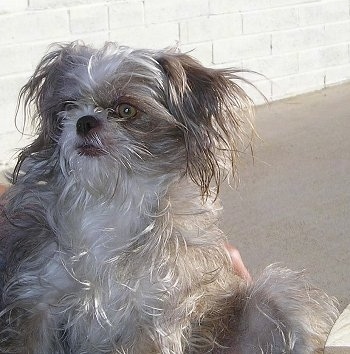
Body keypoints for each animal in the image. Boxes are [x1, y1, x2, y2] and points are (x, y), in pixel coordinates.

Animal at [0, 42, 340, 354]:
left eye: (126, 110)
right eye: (68, 106)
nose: (84, 122)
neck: (110, 199)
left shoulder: (151, 317)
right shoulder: (34, 303)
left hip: (275, 294)